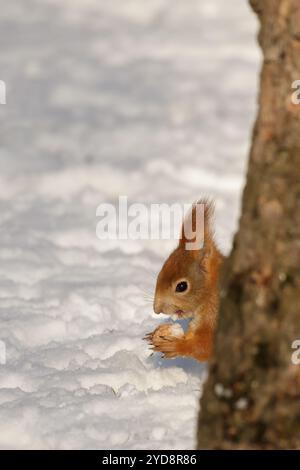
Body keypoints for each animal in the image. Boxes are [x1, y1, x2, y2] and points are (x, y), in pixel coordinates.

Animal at [144, 200, 224, 362]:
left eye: (181, 286)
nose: (157, 310)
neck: (210, 292)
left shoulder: (215, 313)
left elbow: (206, 346)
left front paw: (176, 346)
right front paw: (158, 333)